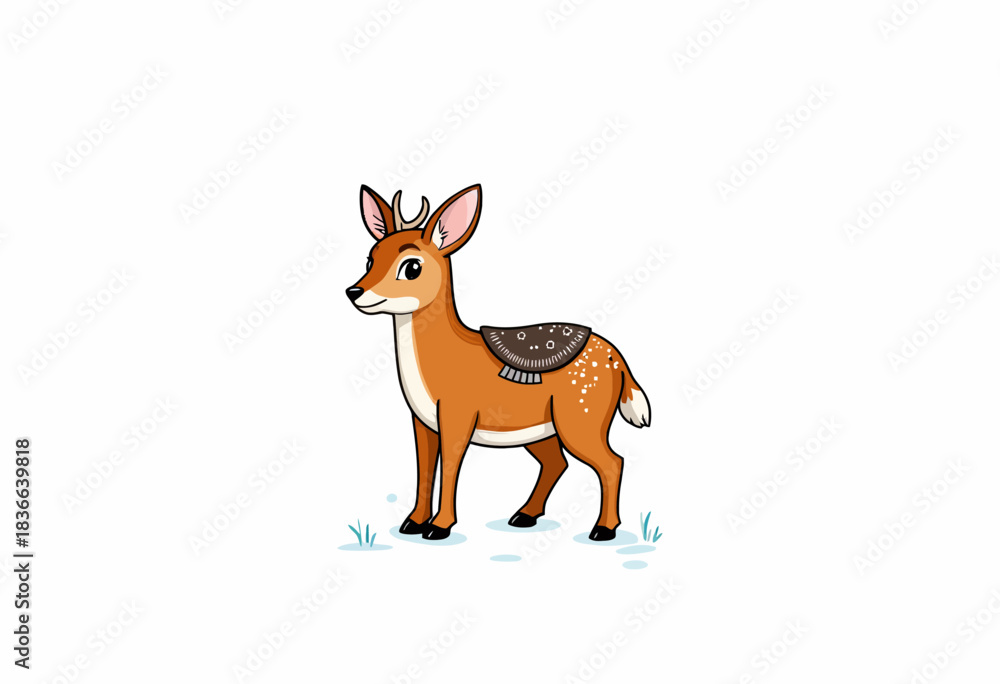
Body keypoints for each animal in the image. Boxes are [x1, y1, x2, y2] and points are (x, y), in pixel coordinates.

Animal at [346, 184, 650, 541]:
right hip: (544, 428)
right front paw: (413, 523)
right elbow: (424, 469)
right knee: (557, 463)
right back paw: (523, 516)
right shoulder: (422, 421)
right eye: (370, 258)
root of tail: (616, 357)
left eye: (412, 267)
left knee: (612, 462)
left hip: (581, 417)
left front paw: (439, 527)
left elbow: (450, 467)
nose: (354, 291)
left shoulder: (458, 414)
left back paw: (603, 529)